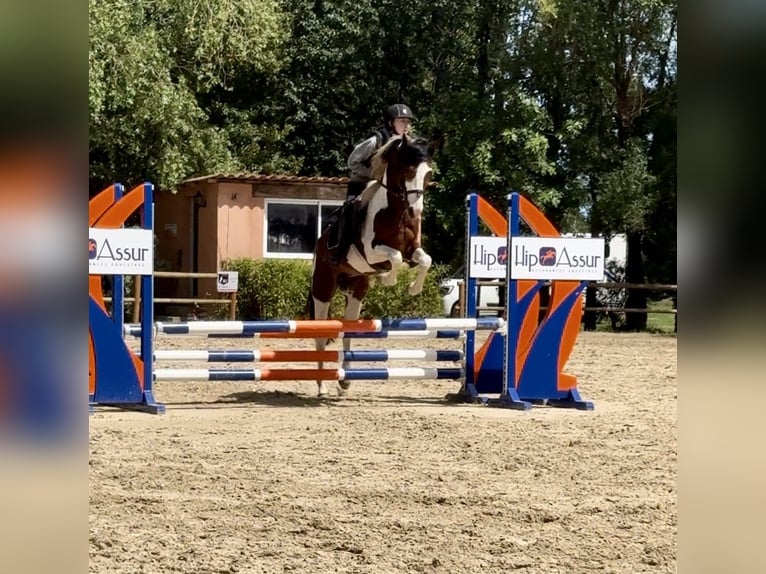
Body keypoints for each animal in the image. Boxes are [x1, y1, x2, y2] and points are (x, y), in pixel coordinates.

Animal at [308, 133, 436, 398]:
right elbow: (394, 257)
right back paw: (322, 386)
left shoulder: (413, 251)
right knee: (321, 334)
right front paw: (388, 279)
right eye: (409, 170)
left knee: (347, 331)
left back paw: (345, 382)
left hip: (356, 290)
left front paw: (413, 288)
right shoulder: (371, 251)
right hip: (322, 290)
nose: (416, 211)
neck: (396, 212)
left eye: (428, 173)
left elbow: (424, 260)